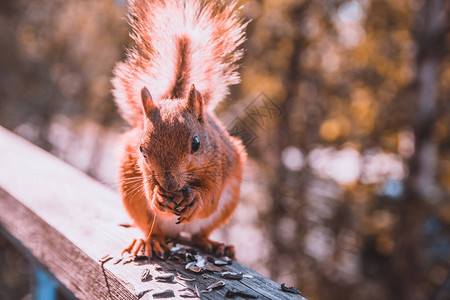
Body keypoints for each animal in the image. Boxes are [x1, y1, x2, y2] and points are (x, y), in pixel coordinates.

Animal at [111, 0, 248, 258]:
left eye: (196, 144)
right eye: (141, 150)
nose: (169, 185)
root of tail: (176, 234)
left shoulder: (219, 166)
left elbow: (210, 199)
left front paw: (196, 199)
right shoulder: (143, 173)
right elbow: (150, 193)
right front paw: (157, 196)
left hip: (227, 203)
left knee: (198, 235)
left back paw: (215, 244)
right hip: (133, 198)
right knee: (152, 228)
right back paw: (148, 242)